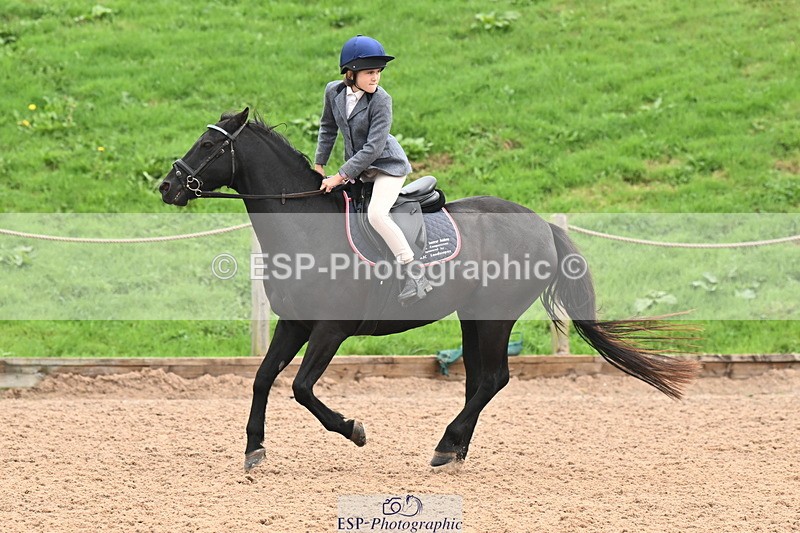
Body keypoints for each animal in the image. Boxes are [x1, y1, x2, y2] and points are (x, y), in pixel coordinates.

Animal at [159, 107, 700, 472]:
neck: (306, 226)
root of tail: (541, 224)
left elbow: (301, 387)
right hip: (471, 317)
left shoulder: (330, 329)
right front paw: (254, 448)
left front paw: (353, 430)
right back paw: (455, 448)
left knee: (493, 378)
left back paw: (446, 445)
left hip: (495, 316)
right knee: (477, 379)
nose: (168, 186)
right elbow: (262, 379)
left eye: (208, 146)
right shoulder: (294, 323)